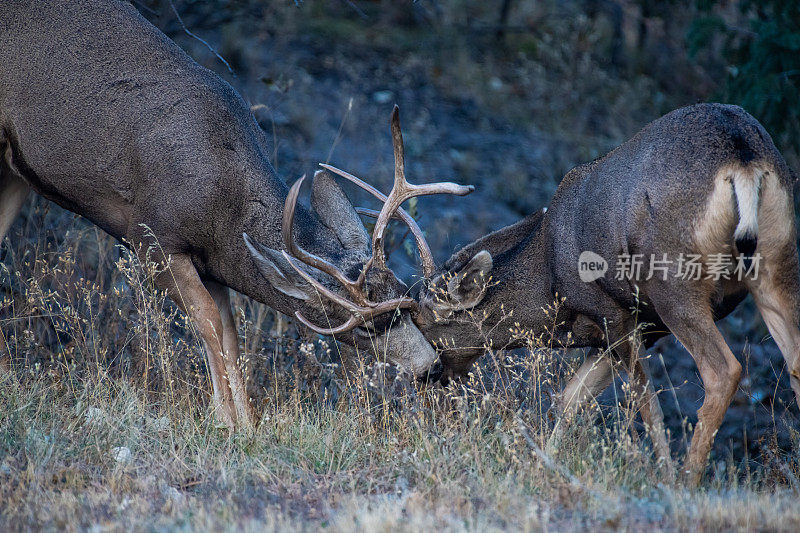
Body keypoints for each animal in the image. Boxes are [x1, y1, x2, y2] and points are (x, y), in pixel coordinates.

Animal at [0, 1, 472, 428]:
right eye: (366, 328)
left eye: (406, 302)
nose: (431, 367)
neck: (224, 196)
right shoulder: (152, 236)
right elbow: (208, 323)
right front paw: (225, 421)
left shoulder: (215, 261)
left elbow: (230, 334)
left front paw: (245, 423)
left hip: (16, 171)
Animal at [416, 103, 800, 482]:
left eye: (422, 321)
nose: (428, 381)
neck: (550, 280)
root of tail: (743, 158)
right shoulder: (636, 330)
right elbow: (568, 399)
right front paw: (545, 466)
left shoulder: (615, 315)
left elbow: (647, 407)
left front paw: (662, 476)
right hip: (778, 258)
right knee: (794, 359)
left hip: (674, 284)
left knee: (723, 371)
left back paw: (686, 482)